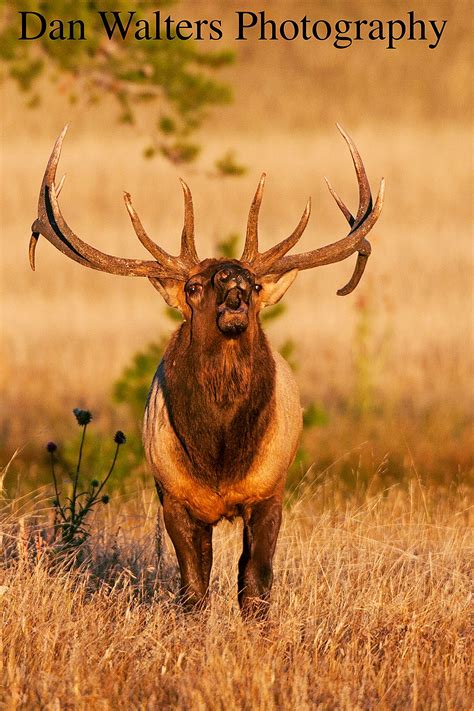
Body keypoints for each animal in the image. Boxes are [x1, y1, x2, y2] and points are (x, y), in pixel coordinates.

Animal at [29, 125, 384, 616]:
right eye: (195, 286)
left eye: (254, 285)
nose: (234, 288)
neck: (219, 456)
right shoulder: (173, 495)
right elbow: (193, 587)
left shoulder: (269, 490)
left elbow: (255, 583)